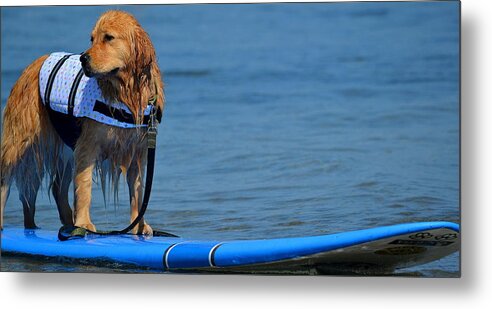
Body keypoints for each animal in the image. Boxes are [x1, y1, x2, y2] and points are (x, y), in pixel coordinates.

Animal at [0, 10, 165, 235]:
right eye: (92, 39)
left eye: (109, 37)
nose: (82, 58)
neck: (125, 93)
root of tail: (33, 65)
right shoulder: (89, 144)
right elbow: (84, 185)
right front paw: (85, 223)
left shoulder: (137, 150)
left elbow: (138, 192)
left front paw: (138, 225)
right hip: (20, 140)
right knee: (8, 181)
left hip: (65, 146)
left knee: (51, 188)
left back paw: (48, 225)